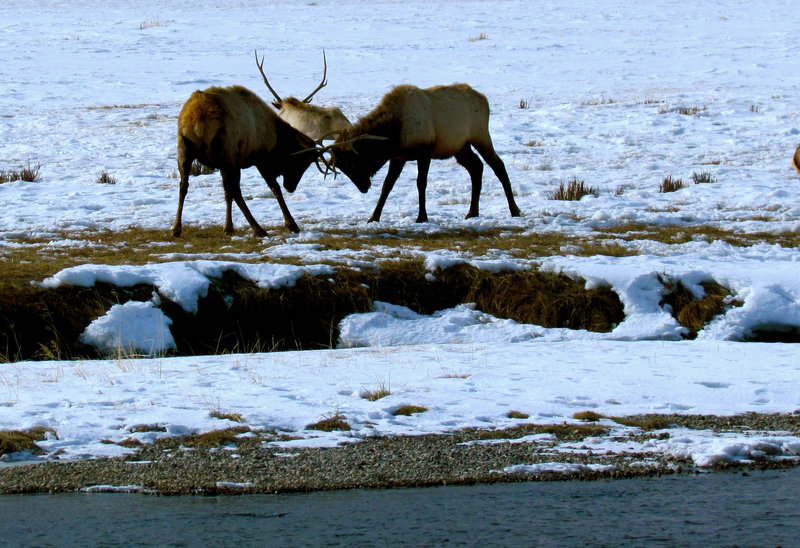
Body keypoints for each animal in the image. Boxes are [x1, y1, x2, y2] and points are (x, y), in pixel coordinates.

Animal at [173, 85, 320, 238]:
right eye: (304, 161)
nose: (291, 187)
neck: (276, 140)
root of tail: (198, 121)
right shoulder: (260, 159)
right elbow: (275, 188)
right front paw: (291, 224)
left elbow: (227, 193)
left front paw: (227, 227)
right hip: (228, 153)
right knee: (236, 191)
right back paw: (258, 229)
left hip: (185, 150)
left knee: (183, 186)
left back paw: (177, 228)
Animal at [324, 82, 520, 223]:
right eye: (341, 167)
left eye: (350, 162)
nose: (363, 187)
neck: (394, 134)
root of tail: (484, 99)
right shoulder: (398, 156)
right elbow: (387, 185)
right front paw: (373, 217)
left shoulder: (425, 151)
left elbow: (421, 183)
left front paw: (422, 217)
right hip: (460, 146)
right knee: (476, 167)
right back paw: (472, 212)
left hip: (480, 135)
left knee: (498, 165)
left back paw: (514, 210)